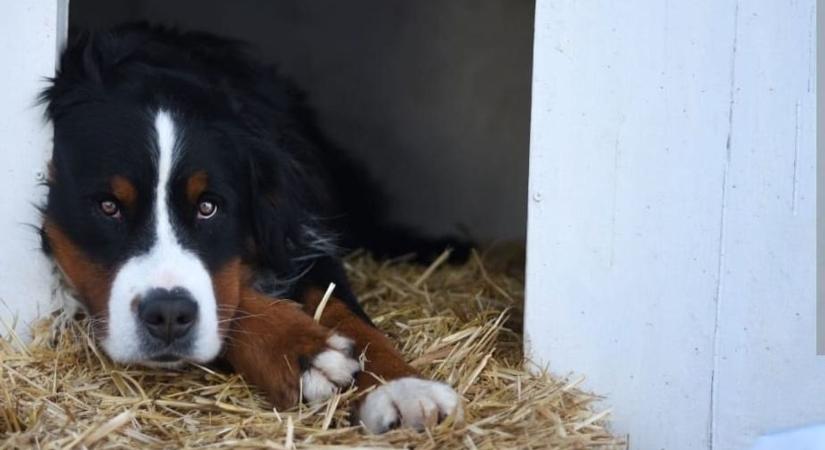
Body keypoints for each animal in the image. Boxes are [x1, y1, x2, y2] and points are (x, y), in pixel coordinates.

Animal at [40, 22, 464, 434]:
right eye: (108, 206)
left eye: (208, 207)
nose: (168, 316)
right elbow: (234, 297)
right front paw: (304, 351)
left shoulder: (304, 236)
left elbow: (346, 311)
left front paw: (401, 387)